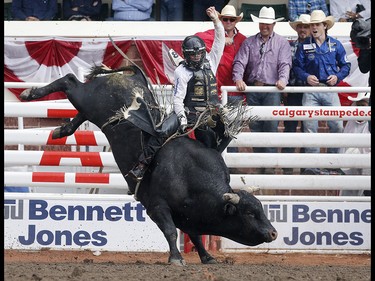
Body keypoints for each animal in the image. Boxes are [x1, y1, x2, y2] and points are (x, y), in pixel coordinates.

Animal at [21, 65, 280, 264]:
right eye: (249, 212)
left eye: (261, 208)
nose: (273, 232)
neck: (190, 178)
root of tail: (133, 75)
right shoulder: (157, 207)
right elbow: (170, 232)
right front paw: (176, 258)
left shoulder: (188, 216)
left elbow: (195, 236)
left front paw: (207, 257)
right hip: (86, 97)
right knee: (69, 80)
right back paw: (29, 93)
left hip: (90, 109)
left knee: (78, 110)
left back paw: (61, 129)